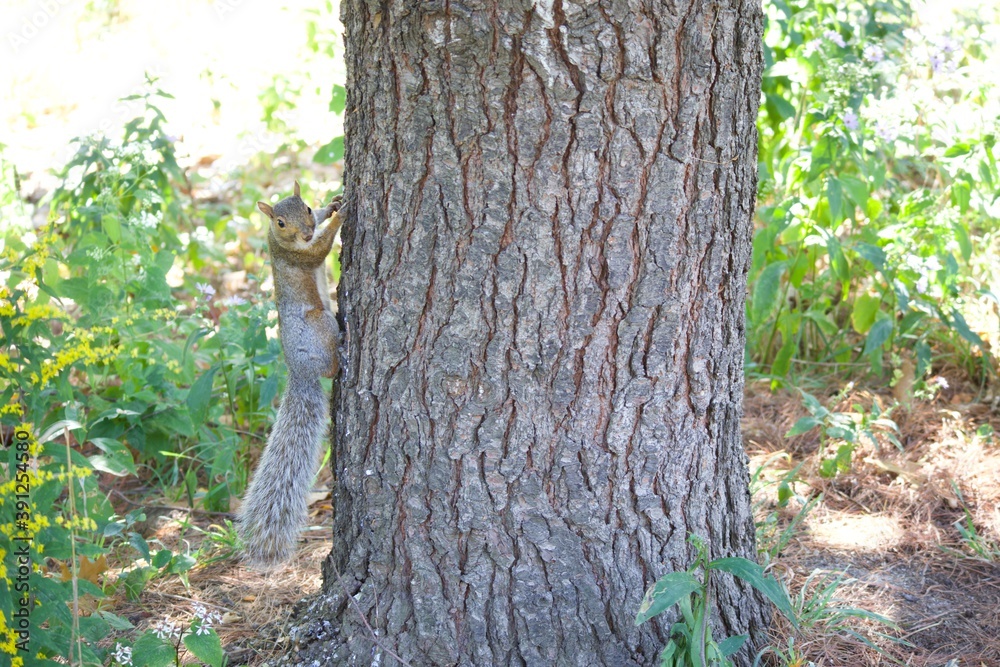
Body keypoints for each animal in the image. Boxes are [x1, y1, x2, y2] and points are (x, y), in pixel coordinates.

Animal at [237, 181, 342, 568]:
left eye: (307, 208)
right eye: (280, 223)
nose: (307, 230)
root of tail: (299, 374)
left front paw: (334, 205)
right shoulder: (297, 256)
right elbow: (318, 252)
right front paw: (339, 218)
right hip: (320, 325)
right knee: (330, 366)